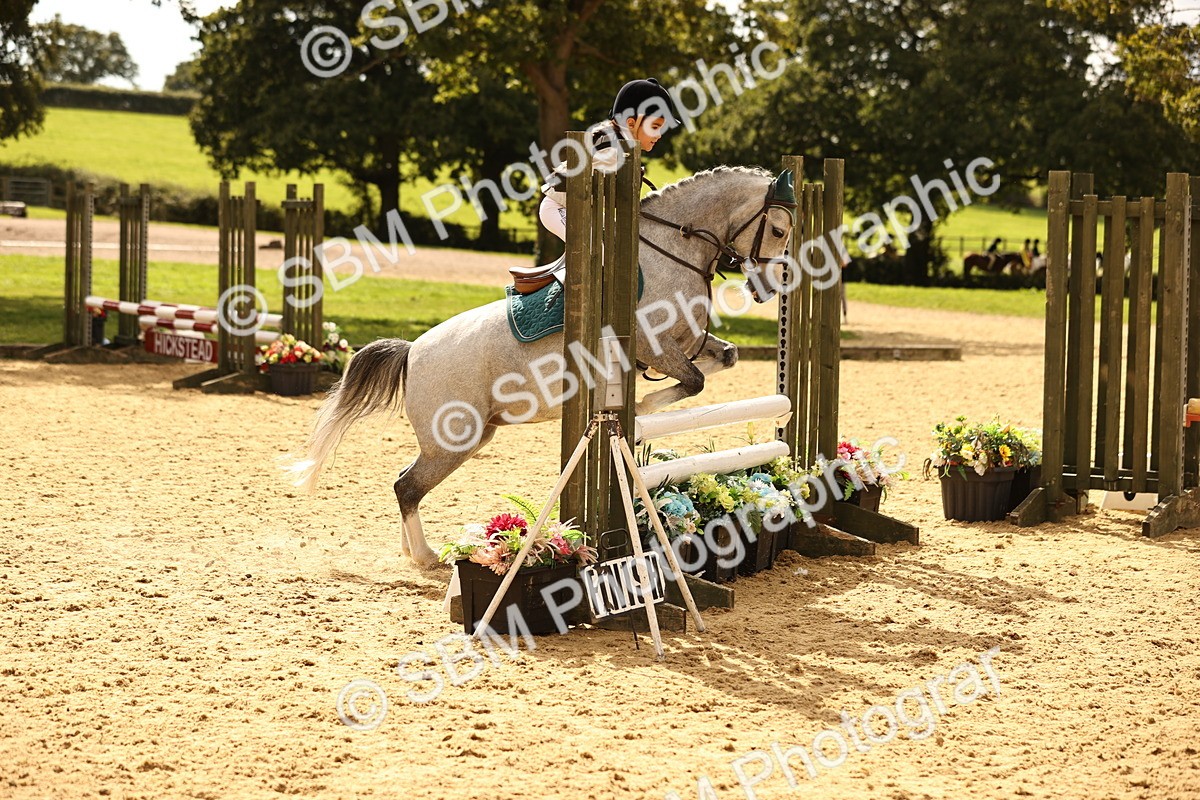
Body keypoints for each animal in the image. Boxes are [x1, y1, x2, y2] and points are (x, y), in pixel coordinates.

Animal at [287, 166, 798, 565]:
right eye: (778, 230)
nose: (769, 291)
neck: (673, 252)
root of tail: (412, 352)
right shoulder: (653, 346)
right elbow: (690, 384)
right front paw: (641, 411)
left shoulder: (688, 343)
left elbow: (722, 361)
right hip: (453, 440)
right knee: (407, 487)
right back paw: (427, 556)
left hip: (471, 435)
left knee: (404, 483)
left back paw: (410, 553)